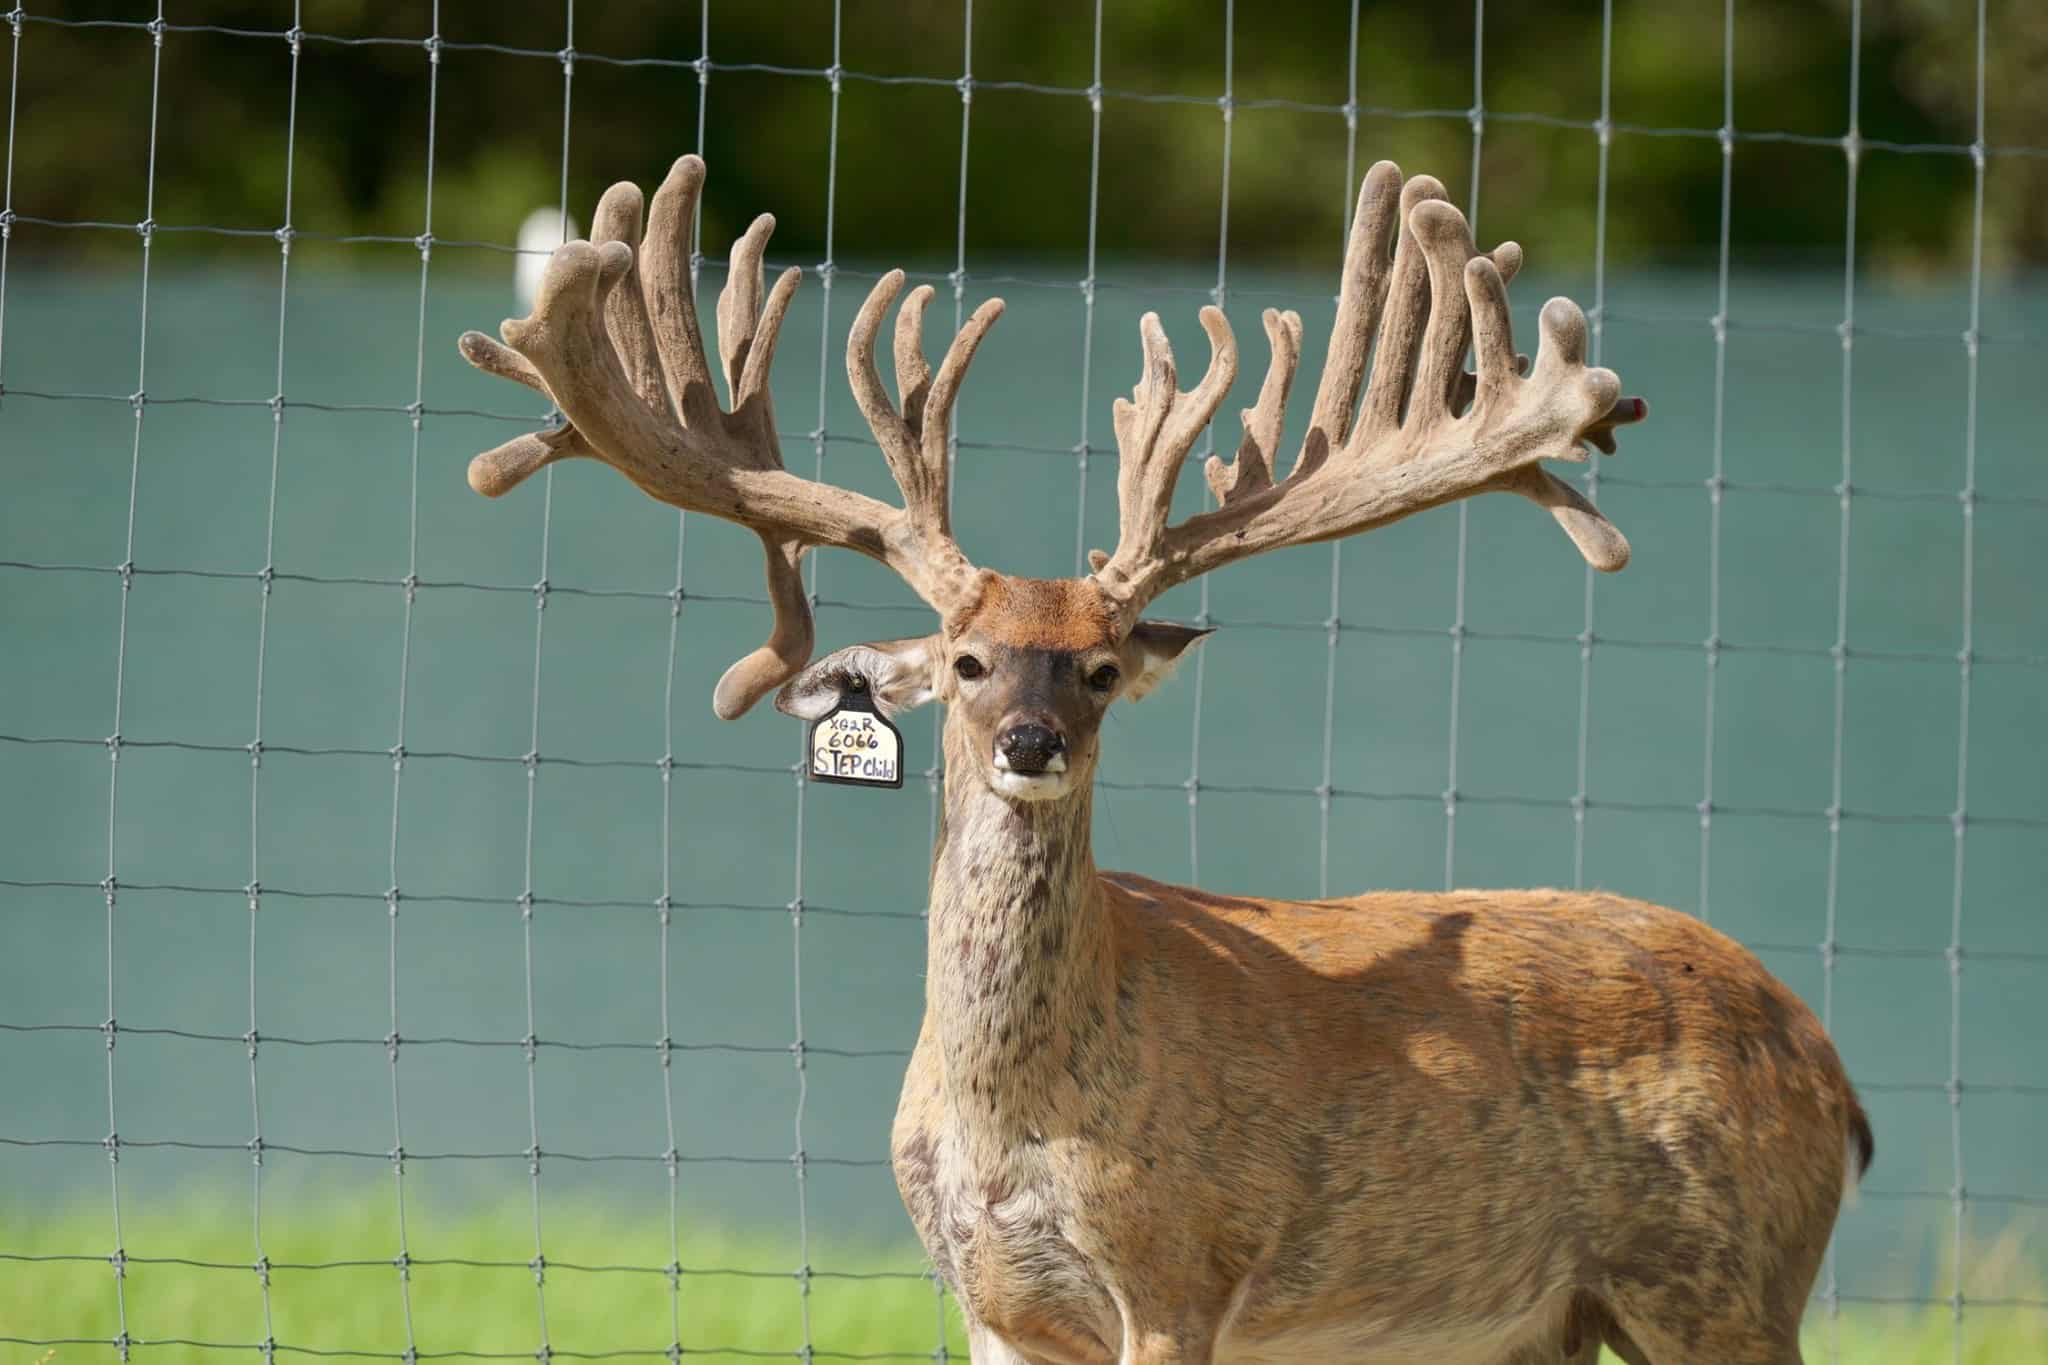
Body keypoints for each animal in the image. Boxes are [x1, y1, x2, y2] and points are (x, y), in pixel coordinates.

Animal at [458, 153, 1875, 1365]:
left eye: (1099, 668)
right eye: (965, 662)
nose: (1030, 741)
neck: (1012, 1126)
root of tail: (1829, 1070)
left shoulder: (1180, 1264)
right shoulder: (990, 1299)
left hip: (1721, 1272)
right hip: (1552, 1319)